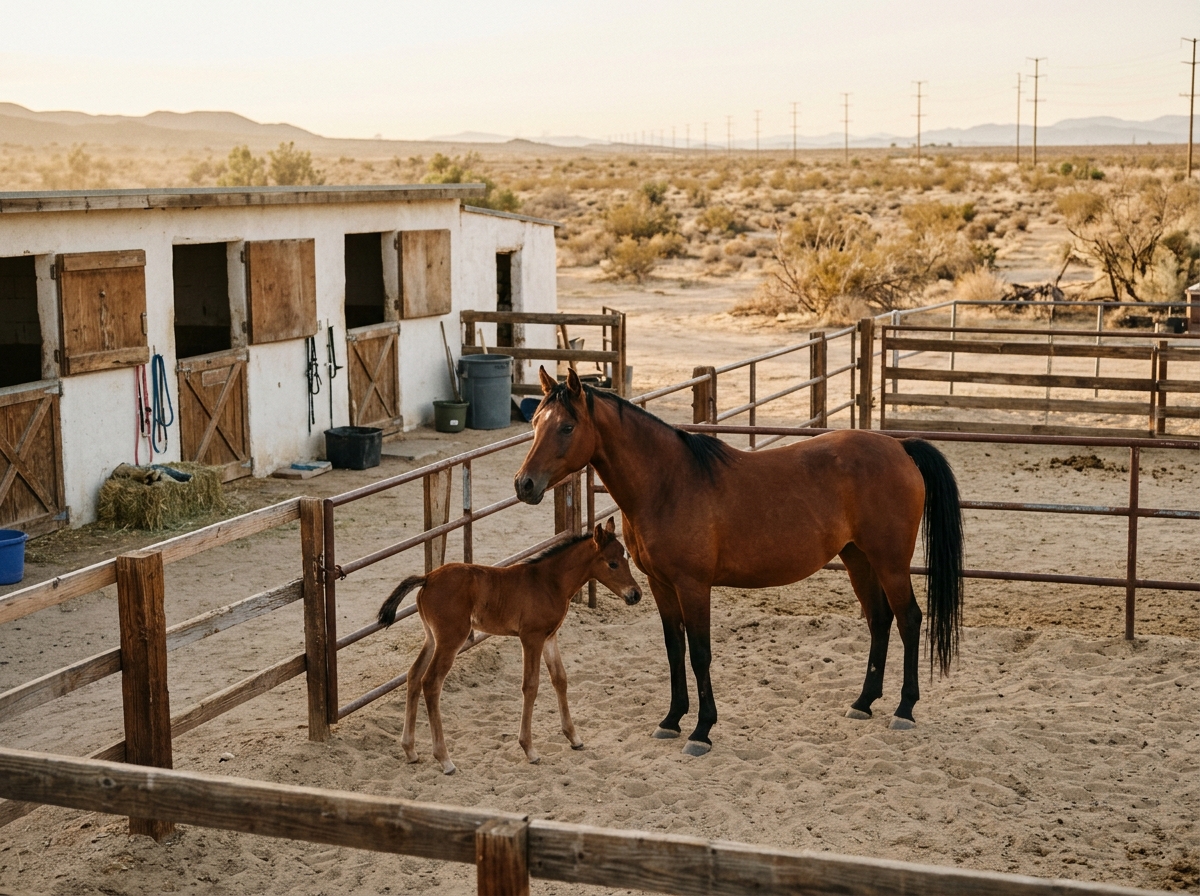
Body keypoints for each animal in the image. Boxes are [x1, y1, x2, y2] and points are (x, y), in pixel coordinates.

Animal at [377, 518, 642, 774]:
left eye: (626, 557)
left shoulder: (550, 637)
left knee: (413, 675)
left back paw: (410, 750)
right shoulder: (531, 638)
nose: (636, 594)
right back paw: (445, 760)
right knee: (431, 682)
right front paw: (529, 749)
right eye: (613, 564)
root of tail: (427, 579)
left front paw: (574, 738)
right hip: (451, 640)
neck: (549, 582)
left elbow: (560, 679)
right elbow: (531, 686)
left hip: (432, 639)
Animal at [514, 367, 963, 757]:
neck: (667, 484)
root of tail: (900, 446)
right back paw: (864, 702)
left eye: (566, 427)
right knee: (880, 620)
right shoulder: (660, 584)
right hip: (858, 559)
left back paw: (904, 709)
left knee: (908, 619)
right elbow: (674, 649)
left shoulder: (693, 585)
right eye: (535, 422)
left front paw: (701, 731)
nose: (524, 485)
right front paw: (671, 720)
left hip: (890, 562)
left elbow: (699, 653)